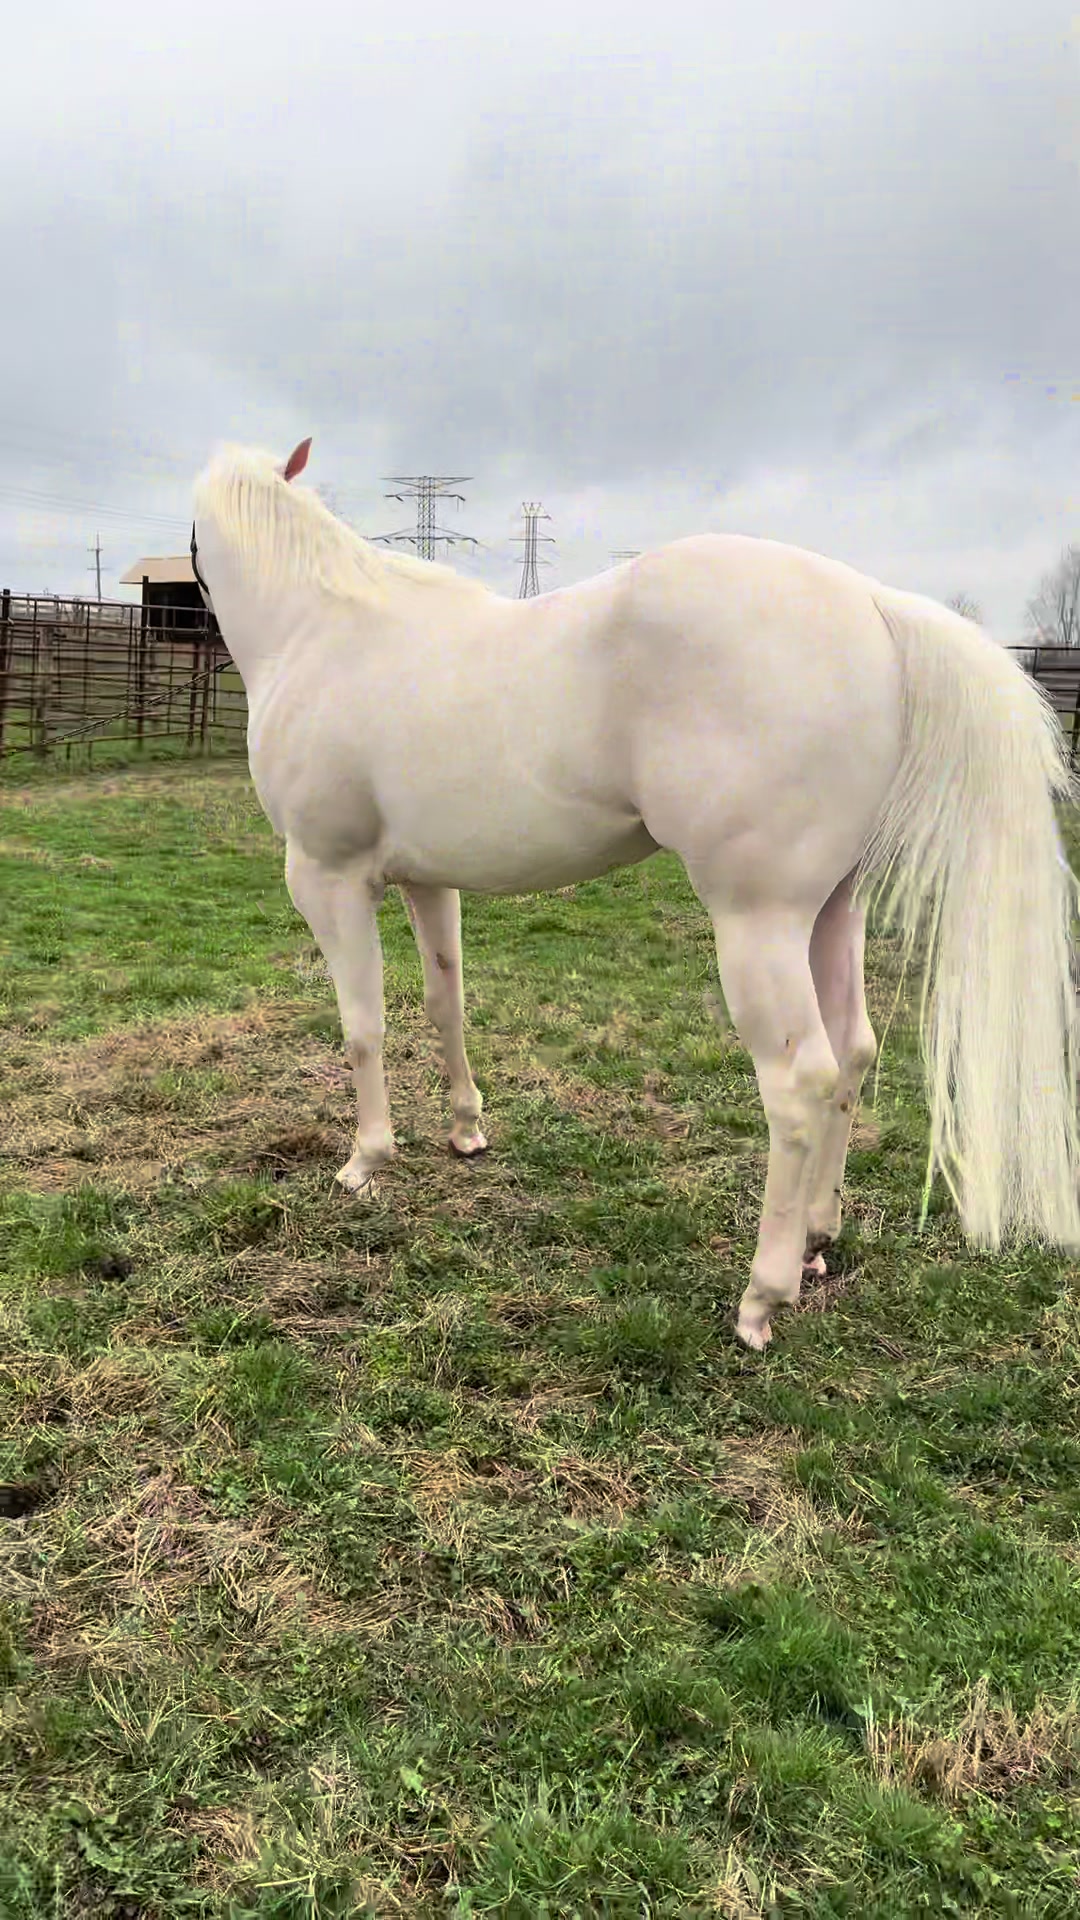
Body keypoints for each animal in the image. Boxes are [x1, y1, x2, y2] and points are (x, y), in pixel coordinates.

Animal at [191, 437, 1080, 1349]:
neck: (319, 632)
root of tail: (869, 602)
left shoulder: (326, 878)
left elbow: (361, 1025)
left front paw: (366, 1160)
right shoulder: (428, 881)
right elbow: (446, 1005)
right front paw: (466, 1129)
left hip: (759, 923)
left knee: (799, 1082)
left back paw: (762, 1297)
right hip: (834, 911)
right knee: (854, 1053)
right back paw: (816, 1240)